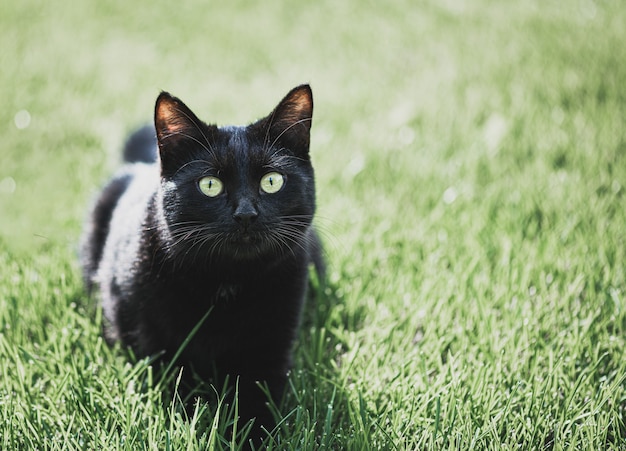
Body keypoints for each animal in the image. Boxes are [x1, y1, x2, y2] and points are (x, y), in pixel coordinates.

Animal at [80, 84, 322, 442]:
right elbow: (182, 397)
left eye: (272, 181)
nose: (246, 214)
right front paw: (194, 429)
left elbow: (258, 402)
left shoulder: (271, 349)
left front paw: (250, 437)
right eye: (210, 185)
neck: (227, 282)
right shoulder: (158, 346)